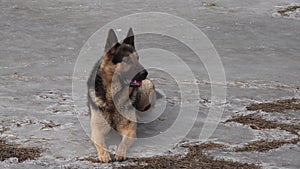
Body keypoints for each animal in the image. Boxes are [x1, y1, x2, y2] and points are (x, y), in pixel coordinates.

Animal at [86, 28, 155, 162]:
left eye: (138, 58)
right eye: (127, 60)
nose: (145, 73)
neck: (113, 97)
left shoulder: (130, 130)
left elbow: (124, 142)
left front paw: (120, 152)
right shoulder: (96, 130)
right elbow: (100, 142)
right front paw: (104, 154)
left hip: (147, 88)